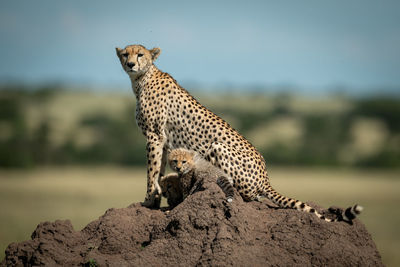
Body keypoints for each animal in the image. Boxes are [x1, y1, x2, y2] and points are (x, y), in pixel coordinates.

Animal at [115, 44, 362, 224]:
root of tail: (265, 176)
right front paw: (156, 200)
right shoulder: (164, 141)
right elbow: (159, 171)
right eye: (126, 54)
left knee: (245, 194)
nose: (130, 64)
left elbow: (151, 171)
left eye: (140, 54)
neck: (142, 79)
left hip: (218, 147)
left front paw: (148, 201)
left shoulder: (154, 136)